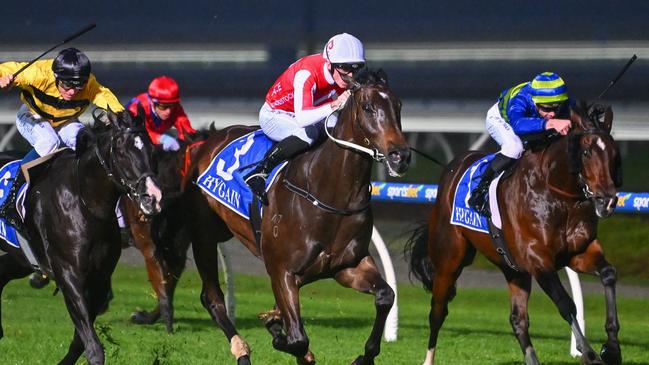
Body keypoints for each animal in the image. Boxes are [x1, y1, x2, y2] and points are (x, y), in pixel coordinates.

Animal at [180, 69, 408, 364]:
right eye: (368, 107)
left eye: (398, 106)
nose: (400, 155)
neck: (327, 192)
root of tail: (209, 139)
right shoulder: (281, 270)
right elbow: (298, 340)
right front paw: (279, 333)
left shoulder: (347, 266)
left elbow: (385, 295)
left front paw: (364, 356)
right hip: (204, 235)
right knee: (212, 297)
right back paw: (242, 349)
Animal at [404, 101, 624, 364]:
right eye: (587, 152)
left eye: (613, 153)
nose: (607, 201)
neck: (557, 195)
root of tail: (451, 169)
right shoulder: (538, 260)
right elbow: (566, 303)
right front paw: (588, 352)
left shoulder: (579, 253)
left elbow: (609, 274)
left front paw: (612, 347)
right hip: (449, 261)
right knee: (438, 311)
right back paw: (428, 358)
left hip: (513, 269)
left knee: (518, 320)